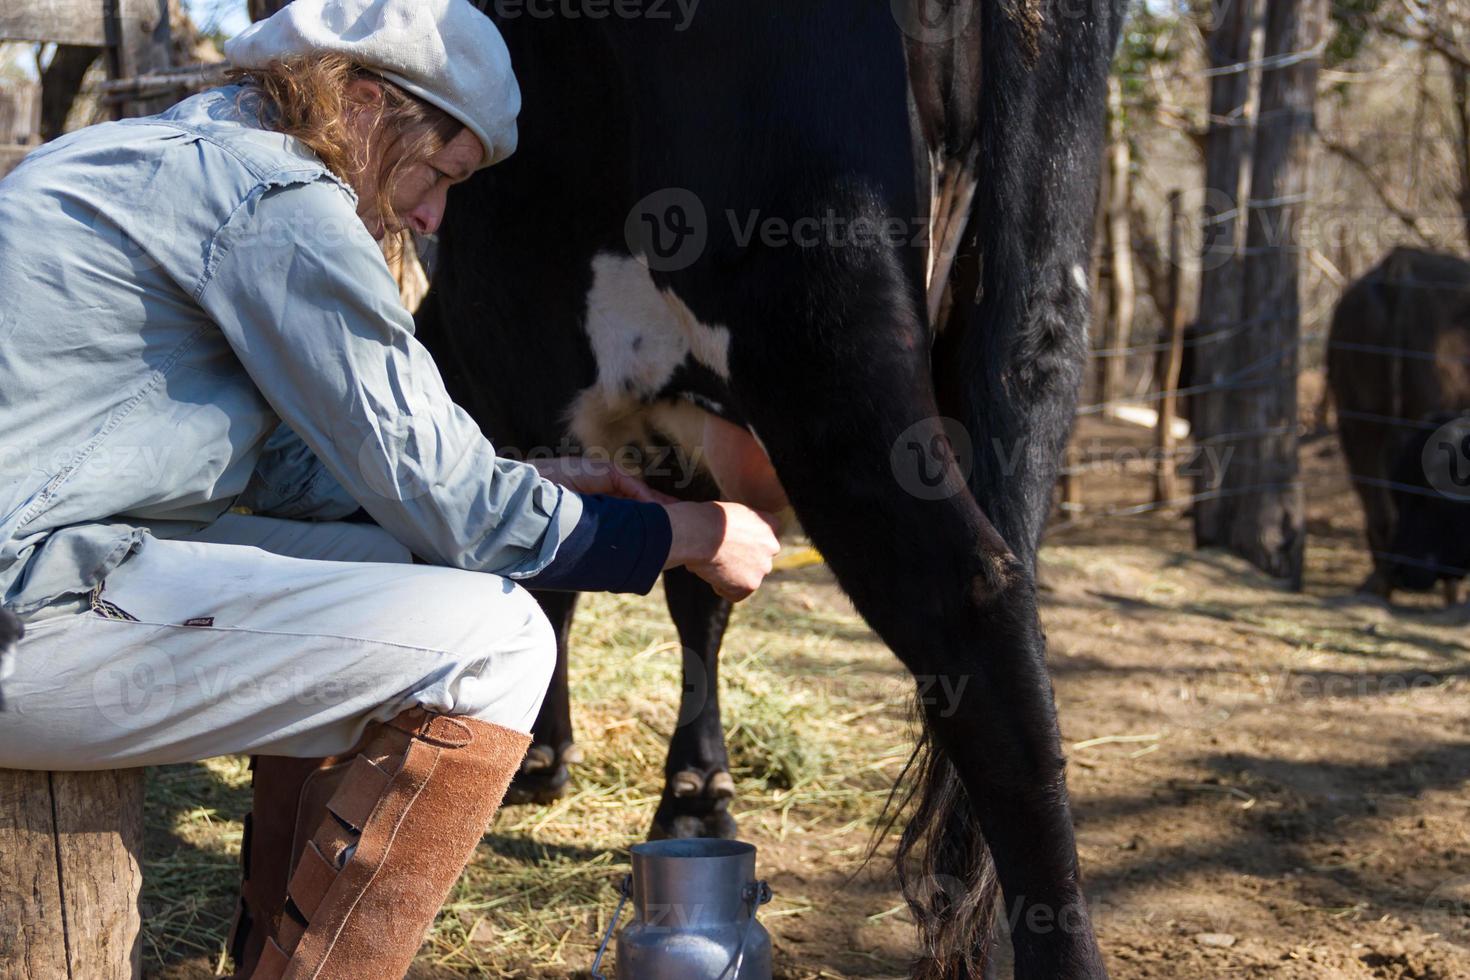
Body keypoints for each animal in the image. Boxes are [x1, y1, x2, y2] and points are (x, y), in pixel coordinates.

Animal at [417, 3, 1123, 975]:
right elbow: (698, 598)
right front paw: (694, 791)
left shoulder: (529, 398)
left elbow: (554, 586)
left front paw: (542, 757)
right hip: (1036, 320)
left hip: (812, 310)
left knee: (973, 600)